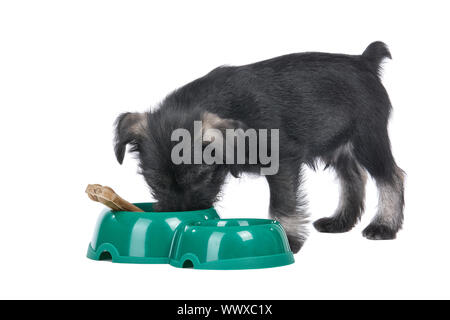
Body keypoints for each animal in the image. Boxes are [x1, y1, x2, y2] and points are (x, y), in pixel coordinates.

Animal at [114, 42, 406, 252]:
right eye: (155, 182)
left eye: (201, 176)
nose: (182, 215)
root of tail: (364, 61)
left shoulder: (283, 163)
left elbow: (282, 205)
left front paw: (288, 239)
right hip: (336, 144)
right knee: (353, 178)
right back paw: (340, 221)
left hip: (367, 139)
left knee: (391, 177)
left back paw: (384, 226)